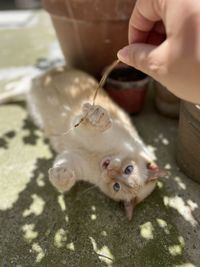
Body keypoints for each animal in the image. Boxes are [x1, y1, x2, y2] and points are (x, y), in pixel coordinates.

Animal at [0, 66, 166, 220]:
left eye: (116, 187)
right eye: (129, 169)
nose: (109, 172)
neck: (99, 157)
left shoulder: (72, 157)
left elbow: (63, 170)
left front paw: (61, 177)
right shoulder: (87, 131)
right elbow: (94, 125)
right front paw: (98, 117)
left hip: (25, 94)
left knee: (13, 90)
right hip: (32, 84)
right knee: (16, 85)